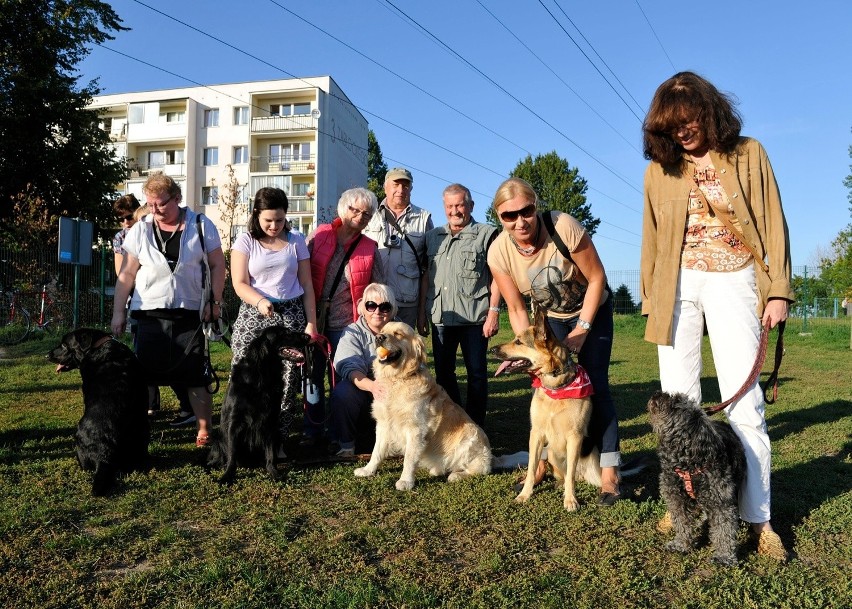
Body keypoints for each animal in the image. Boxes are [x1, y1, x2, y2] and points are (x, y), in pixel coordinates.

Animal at [207, 326, 312, 482]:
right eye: (285, 333)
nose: (308, 336)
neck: (263, 374)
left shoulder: (270, 420)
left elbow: (270, 453)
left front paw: (274, 473)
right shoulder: (235, 421)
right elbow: (232, 454)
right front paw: (227, 476)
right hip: (217, 441)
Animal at [644, 390, 744, 564]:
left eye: (675, 404)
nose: (657, 393)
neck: (687, 465)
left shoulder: (721, 501)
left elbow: (724, 529)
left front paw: (724, 556)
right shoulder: (676, 499)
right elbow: (681, 523)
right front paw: (681, 544)